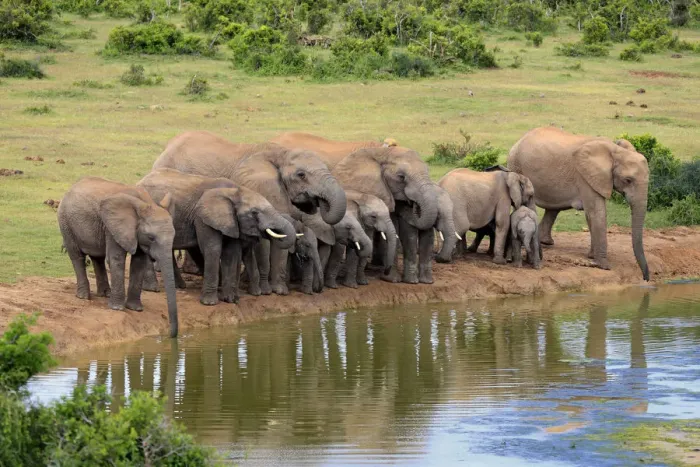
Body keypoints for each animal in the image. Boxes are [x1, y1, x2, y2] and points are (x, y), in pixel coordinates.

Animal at [57, 177, 179, 338]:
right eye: (151, 238)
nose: (170, 335)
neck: (145, 203)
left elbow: (139, 262)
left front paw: (135, 309)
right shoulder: (113, 227)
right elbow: (117, 259)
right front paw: (117, 308)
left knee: (98, 257)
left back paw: (105, 294)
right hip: (66, 222)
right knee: (77, 256)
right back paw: (83, 296)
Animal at [137, 169, 296, 305]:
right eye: (254, 213)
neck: (234, 192)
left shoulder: (231, 222)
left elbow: (231, 252)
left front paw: (230, 299)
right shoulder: (203, 217)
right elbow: (212, 249)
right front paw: (210, 303)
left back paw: (179, 286)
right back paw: (153, 288)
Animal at [152, 131, 347, 296]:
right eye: (301, 175)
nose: (320, 202)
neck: (281, 153)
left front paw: (275, 289)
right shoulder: (261, 188)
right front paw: (272, 291)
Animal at [507, 127, 649, 280]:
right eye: (628, 180)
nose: (645, 278)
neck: (616, 151)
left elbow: (592, 214)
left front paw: (592, 256)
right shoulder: (585, 177)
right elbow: (597, 212)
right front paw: (604, 265)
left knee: (553, 209)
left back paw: (545, 242)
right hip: (516, 165)